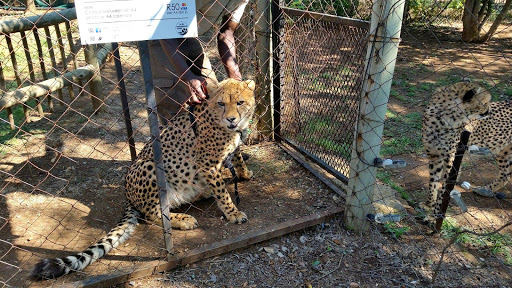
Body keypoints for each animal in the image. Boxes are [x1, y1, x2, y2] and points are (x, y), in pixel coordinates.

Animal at [32, 78, 256, 280]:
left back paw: (202, 193)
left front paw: (245, 174)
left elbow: (237, 157)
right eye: (221, 103)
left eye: (240, 102)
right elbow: (223, 192)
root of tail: (128, 197)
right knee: (153, 213)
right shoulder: (208, 164)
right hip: (149, 166)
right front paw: (233, 213)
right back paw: (183, 219)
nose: (231, 119)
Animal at [422, 82, 510, 219]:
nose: (489, 111)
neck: (446, 116)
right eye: (485, 102)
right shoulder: (434, 154)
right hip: (503, 151)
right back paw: (485, 190)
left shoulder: (451, 160)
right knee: (506, 175)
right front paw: (429, 204)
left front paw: (436, 213)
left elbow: (444, 188)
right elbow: (433, 182)